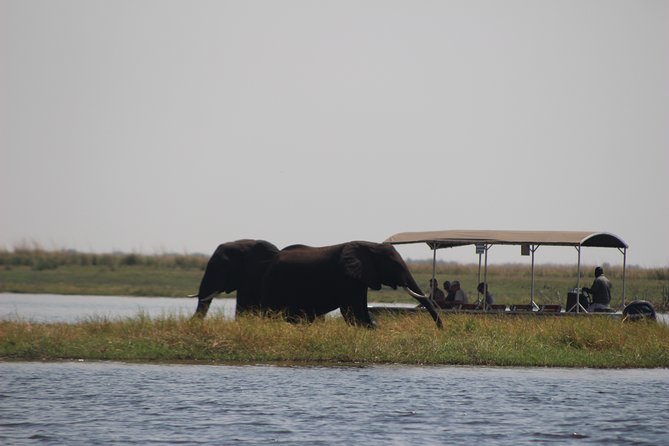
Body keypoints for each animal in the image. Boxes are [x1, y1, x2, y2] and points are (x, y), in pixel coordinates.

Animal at [259, 241, 443, 328]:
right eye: (395, 265)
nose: (440, 330)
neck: (370, 246)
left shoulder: (360, 278)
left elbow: (361, 307)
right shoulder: (347, 278)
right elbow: (352, 311)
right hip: (275, 282)